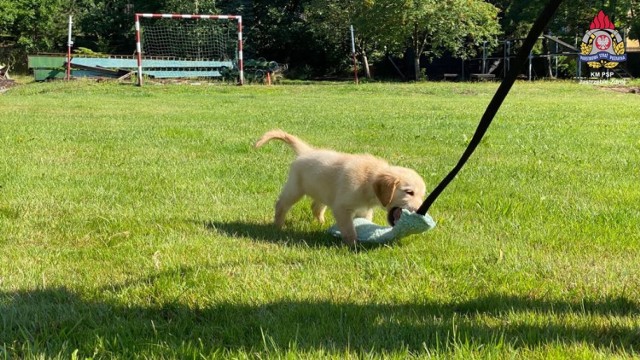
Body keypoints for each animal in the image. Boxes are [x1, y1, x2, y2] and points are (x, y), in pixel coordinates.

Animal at [254, 131, 424, 246]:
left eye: (422, 195)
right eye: (409, 192)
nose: (420, 211)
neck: (368, 178)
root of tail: (307, 151)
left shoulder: (364, 210)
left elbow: (362, 222)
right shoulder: (342, 207)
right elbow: (349, 229)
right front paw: (353, 244)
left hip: (324, 191)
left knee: (315, 207)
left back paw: (321, 223)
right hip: (295, 188)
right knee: (281, 204)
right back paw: (278, 226)